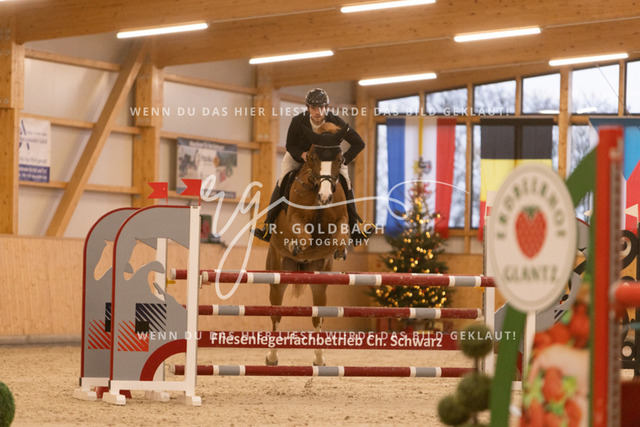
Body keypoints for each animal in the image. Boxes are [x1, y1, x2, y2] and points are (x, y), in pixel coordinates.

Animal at [265, 122, 350, 366]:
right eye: (313, 157)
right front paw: (298, 246)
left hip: (320, 280)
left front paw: (340, 249)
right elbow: (303, 234)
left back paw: (319, 359)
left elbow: (341, 231)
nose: (325, 197)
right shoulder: (294, 217)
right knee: (276, 312)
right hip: (277, 273)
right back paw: (272, 357)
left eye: (340, 159)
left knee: (317, 315)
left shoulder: (341, 219)